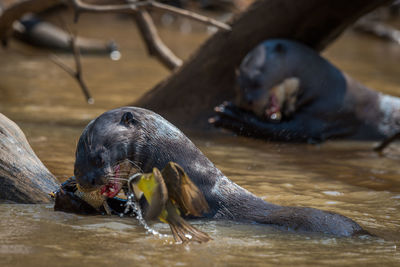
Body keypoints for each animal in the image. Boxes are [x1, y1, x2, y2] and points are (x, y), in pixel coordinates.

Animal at [209, 38, 400, 143]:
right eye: (238, 85)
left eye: (257, 78)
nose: (246, 101)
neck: (326, 86)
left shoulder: (325, 115)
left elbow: (289, 131)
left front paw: (230, 117)